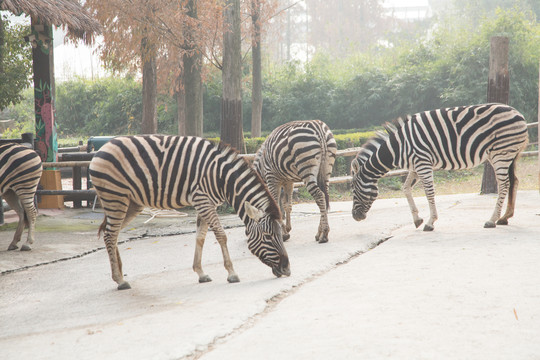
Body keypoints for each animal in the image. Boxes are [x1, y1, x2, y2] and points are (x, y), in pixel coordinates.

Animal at [88, 135, 292, 290]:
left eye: (280, 234)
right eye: (268, 236)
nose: (287, 269)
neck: (222, 178)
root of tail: (104, 146)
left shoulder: (206, 204)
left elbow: (200, 237)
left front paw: (201, 273)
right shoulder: (203, 200)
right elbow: (221, 235)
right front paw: (232, 273)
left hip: (131, 202)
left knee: (111, 234)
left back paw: (119, 274)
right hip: (115, 197)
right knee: (110, 235)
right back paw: (119, 280)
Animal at [350, 102, 528, 231]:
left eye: (353, 190)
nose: (355, 217)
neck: (399, 147)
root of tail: (518, 114)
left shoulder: (423, 163)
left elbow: (429, 192)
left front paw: (430, 222)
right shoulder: (415, 166)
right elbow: (406, 188)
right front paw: (417, 219)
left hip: (502, 152)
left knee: (504, 184)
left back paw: (492, 220)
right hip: (507, 154)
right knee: (514, 181)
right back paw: (505, 217)